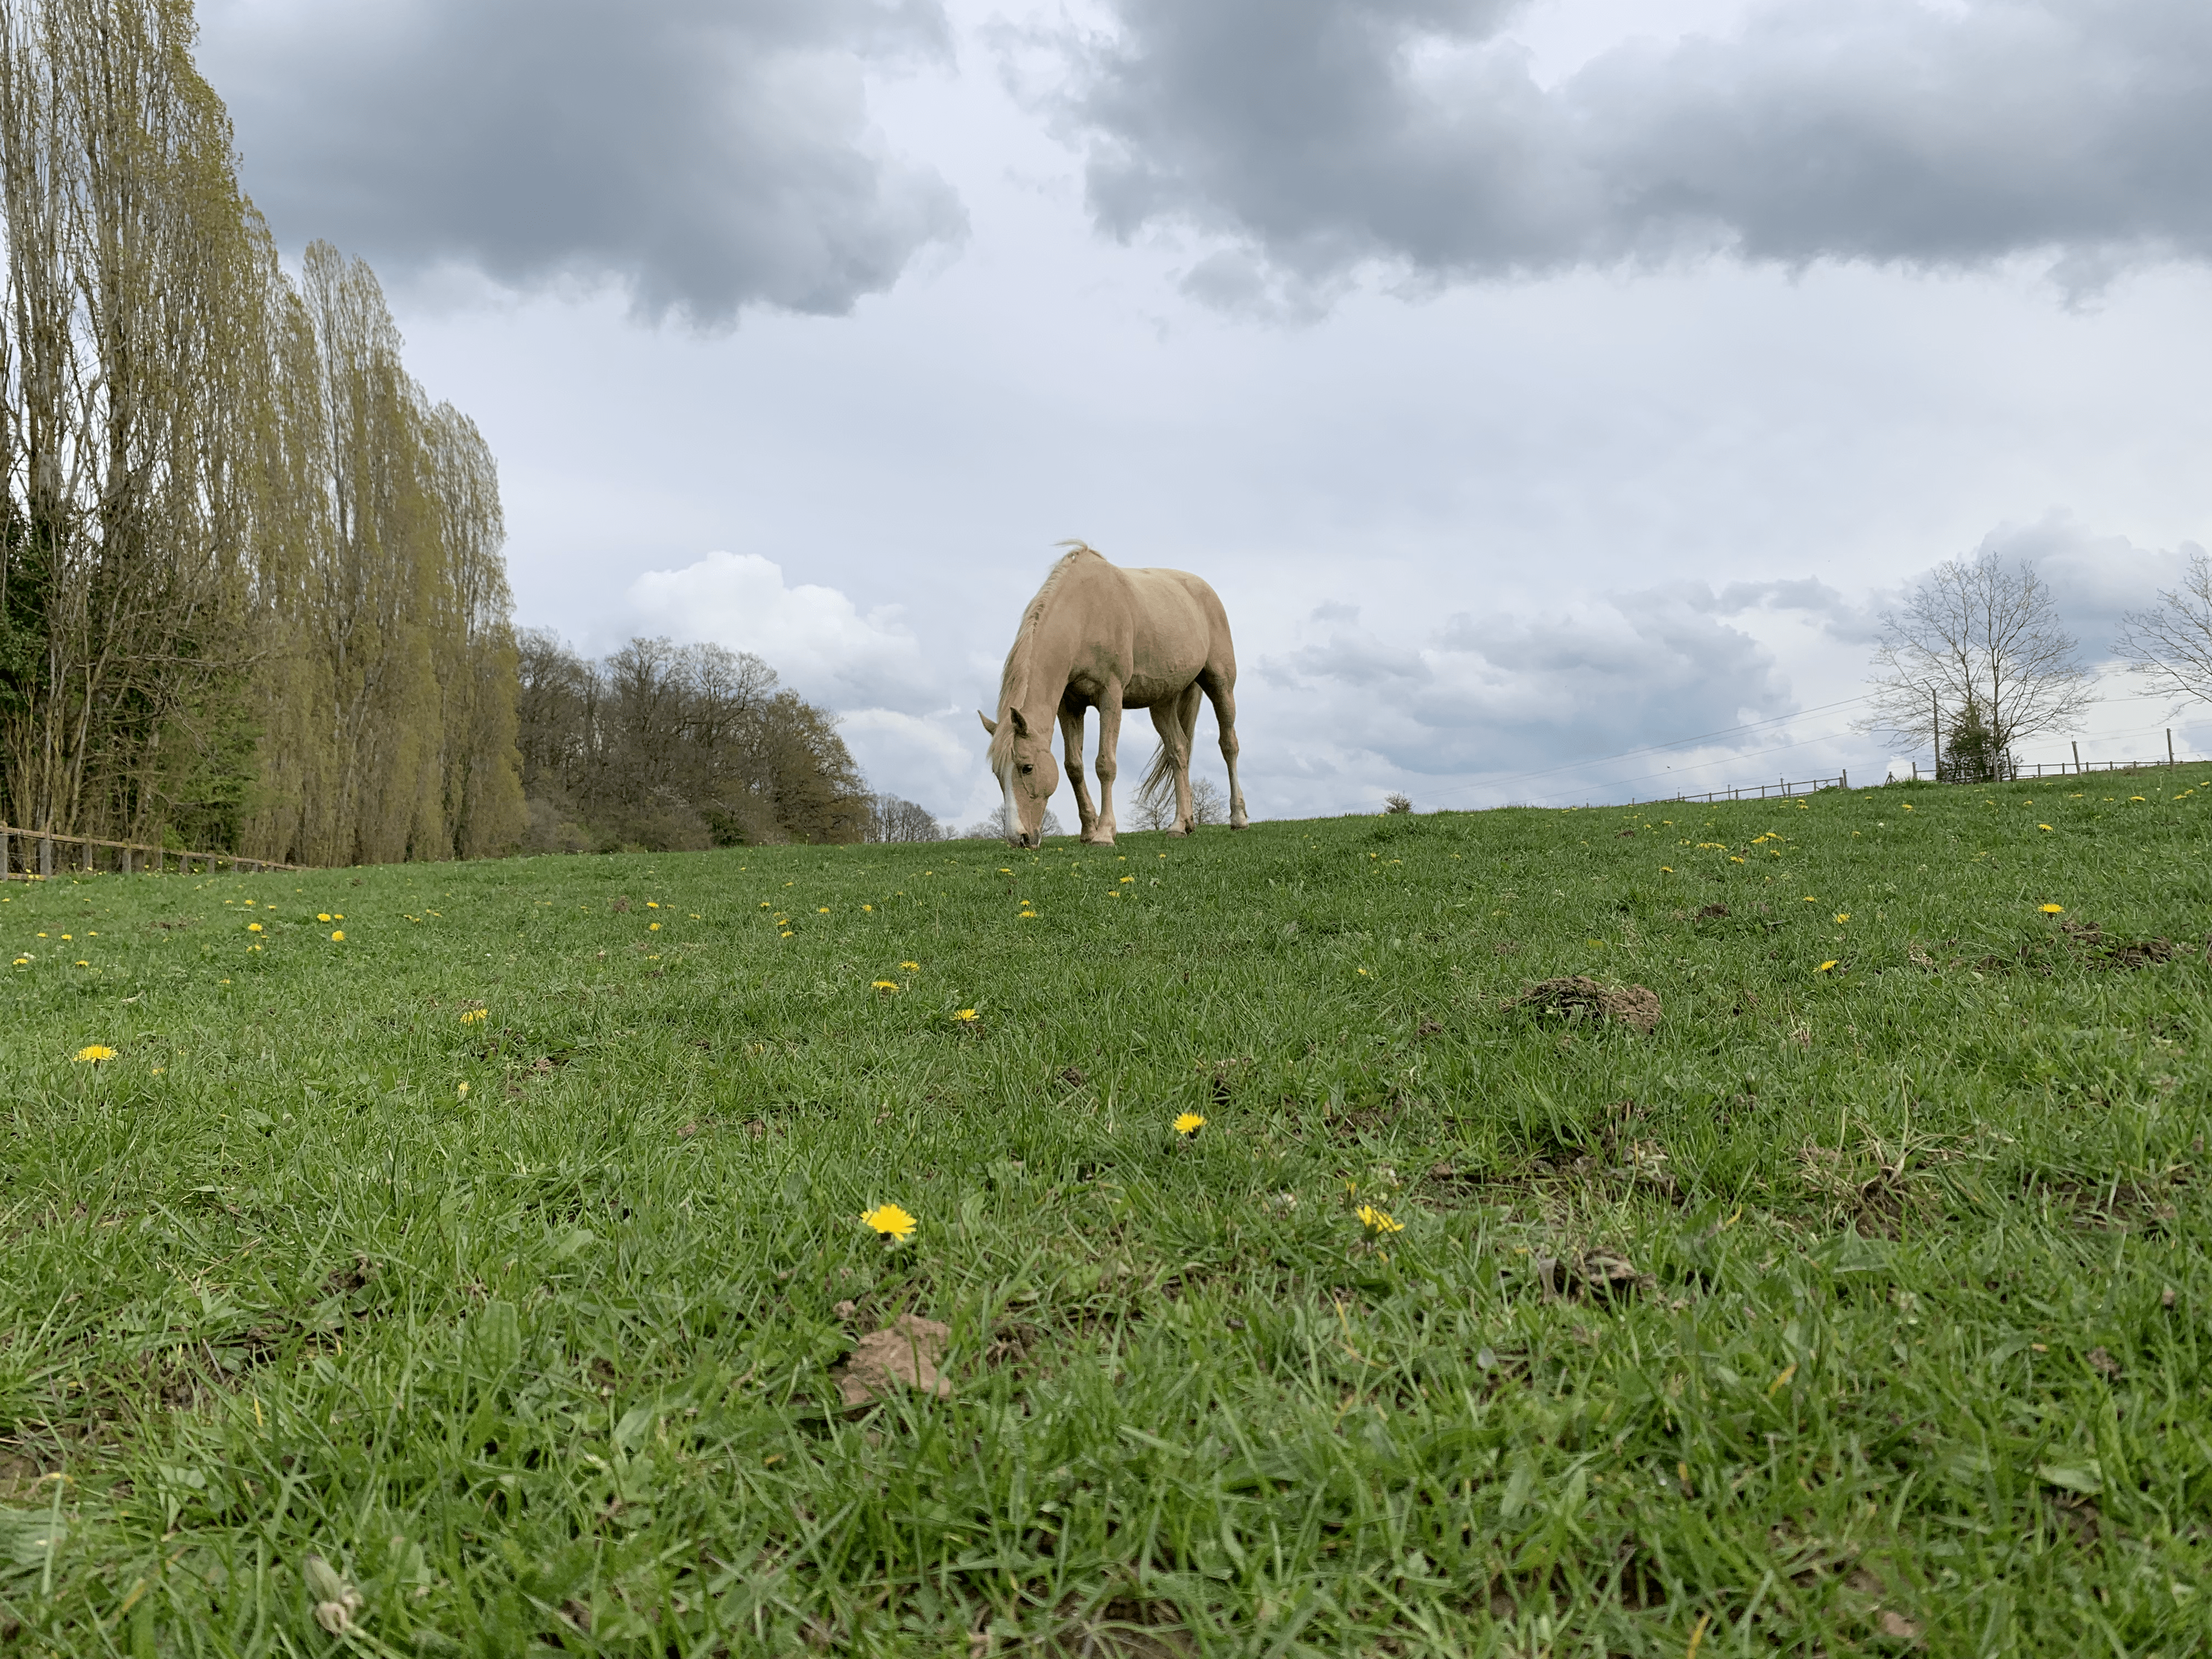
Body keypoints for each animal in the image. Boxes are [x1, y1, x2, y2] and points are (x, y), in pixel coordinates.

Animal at [982, 546, 1248, 849]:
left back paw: (1239, 818)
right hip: (1162, 702)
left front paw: (1105, 833)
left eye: (1026, 768)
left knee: (1229, 745)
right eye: (997, 774)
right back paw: (1181, 824)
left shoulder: (1110, 696)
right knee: (1179, 751)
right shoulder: (1070, 705)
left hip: (1221, 685)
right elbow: (1074, 767)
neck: (1084, 614)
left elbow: (1105, 764)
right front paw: (1089, 830)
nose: (1019, 838)